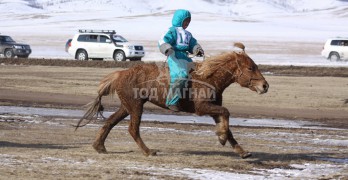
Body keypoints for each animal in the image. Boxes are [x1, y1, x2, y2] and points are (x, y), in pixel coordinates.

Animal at [77, 43, 270, 158]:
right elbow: (227, 113)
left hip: (127, 106)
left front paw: (241, 150)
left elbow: (227, 123)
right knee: (133, 129)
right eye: (250, 68)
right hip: (136, 106)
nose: (265, 85)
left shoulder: (213, 108)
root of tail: (119, 74)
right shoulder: (202, 108)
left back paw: (99, 146)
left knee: (110, 121)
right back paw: (149, 151)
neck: (210, 77)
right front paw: (221, 137)